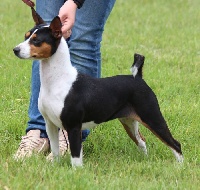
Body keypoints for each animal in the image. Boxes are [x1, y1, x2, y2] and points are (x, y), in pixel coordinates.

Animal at [13, 8, 184, 166]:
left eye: (36, 41)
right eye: (26, 36)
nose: (15, 50)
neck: (57, 81)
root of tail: (138, 78)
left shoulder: (74, 127)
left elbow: (76, 157)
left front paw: (76, 174)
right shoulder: (51, 125)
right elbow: (55, 152)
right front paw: (55, 167)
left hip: (152, 117)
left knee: (175, 144)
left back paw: (179, 167)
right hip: (129, 120)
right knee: (142, 141)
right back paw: (145, 160)